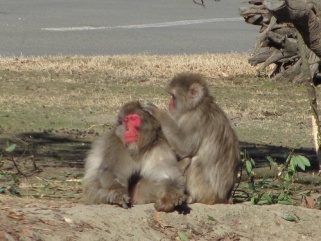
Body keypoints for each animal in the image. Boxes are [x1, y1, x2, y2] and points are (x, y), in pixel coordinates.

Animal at [144, 72, 239, 204]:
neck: (195, 106)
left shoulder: (193, 119)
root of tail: (225, 198)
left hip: (209, 193)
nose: (169, 104)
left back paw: (192, 197)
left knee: (196, 161)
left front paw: (157, 113)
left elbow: (185, 148)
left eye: (173, 96)